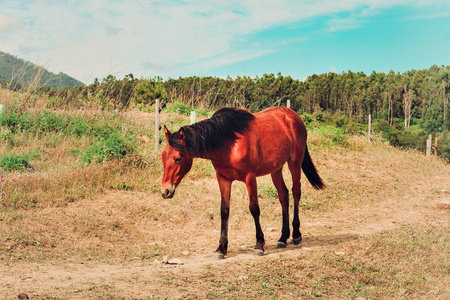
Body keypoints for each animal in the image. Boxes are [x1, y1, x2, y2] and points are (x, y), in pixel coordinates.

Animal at [161, 106, 324, 258]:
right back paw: (282, 238)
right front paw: (221, 248)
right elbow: (224, 211)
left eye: (178, 158)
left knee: (296, 192)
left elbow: (254, 209)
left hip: (295, 163)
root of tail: (293, 115)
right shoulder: (223, 179)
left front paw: (259, 245)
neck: (229, 144)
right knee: (283, 195)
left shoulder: (250, 178)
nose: (165, 191)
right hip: (276, 169)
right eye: (163, 157)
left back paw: (296, 235)